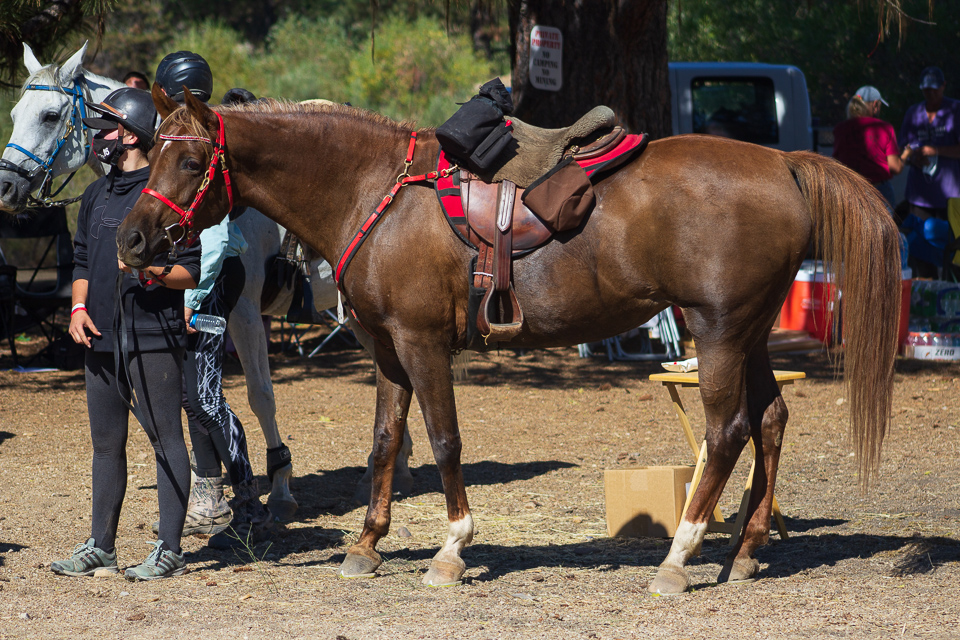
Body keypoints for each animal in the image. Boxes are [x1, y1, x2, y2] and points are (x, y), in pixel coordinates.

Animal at [0, 43, 412, 516]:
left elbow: (260, 395)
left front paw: (280, 482)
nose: (6, 186)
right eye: (15, 112)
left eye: (50, 115)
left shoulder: (245, 315)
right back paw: (390, 468)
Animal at [116, 89, 904, 596]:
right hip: (750, 333)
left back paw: (680, 559)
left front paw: (451, 549)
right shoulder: (386, 351)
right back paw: (745, 551)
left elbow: (442, 442)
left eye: (189, 163)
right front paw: (366, 545)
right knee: (771, 420)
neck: (376, 190)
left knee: (727, 430)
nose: (131, 241)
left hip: (717, 332)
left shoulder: (423, 344)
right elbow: (384, 443)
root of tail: (783, 162)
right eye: (151, 156)